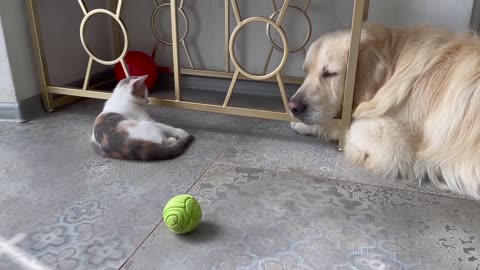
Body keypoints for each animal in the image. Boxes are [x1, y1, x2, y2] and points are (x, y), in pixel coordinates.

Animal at [288, 23, 480, 199]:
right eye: (306, 71)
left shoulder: (393, 144)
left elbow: (347, 125)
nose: (293, 107)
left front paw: (308, 126)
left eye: (329, 73)